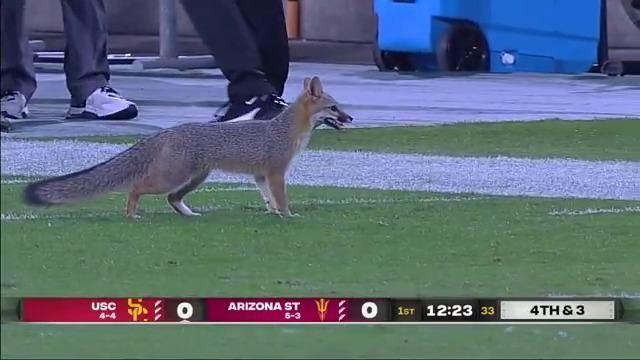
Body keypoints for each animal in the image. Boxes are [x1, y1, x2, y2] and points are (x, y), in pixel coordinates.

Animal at [23, 76, 356, 218]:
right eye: (334, 109)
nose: (351, 118)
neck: (285, 129)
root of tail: (171, 129)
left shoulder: (260, 177)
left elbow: (268, 200)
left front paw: (274, 213)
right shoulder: (275, 173)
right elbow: (282, 199)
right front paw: (287, 215)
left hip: (194, 178)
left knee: (172, 199)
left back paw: (189, 214)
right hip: (173, 177)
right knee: (136, 188)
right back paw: (132, 214)